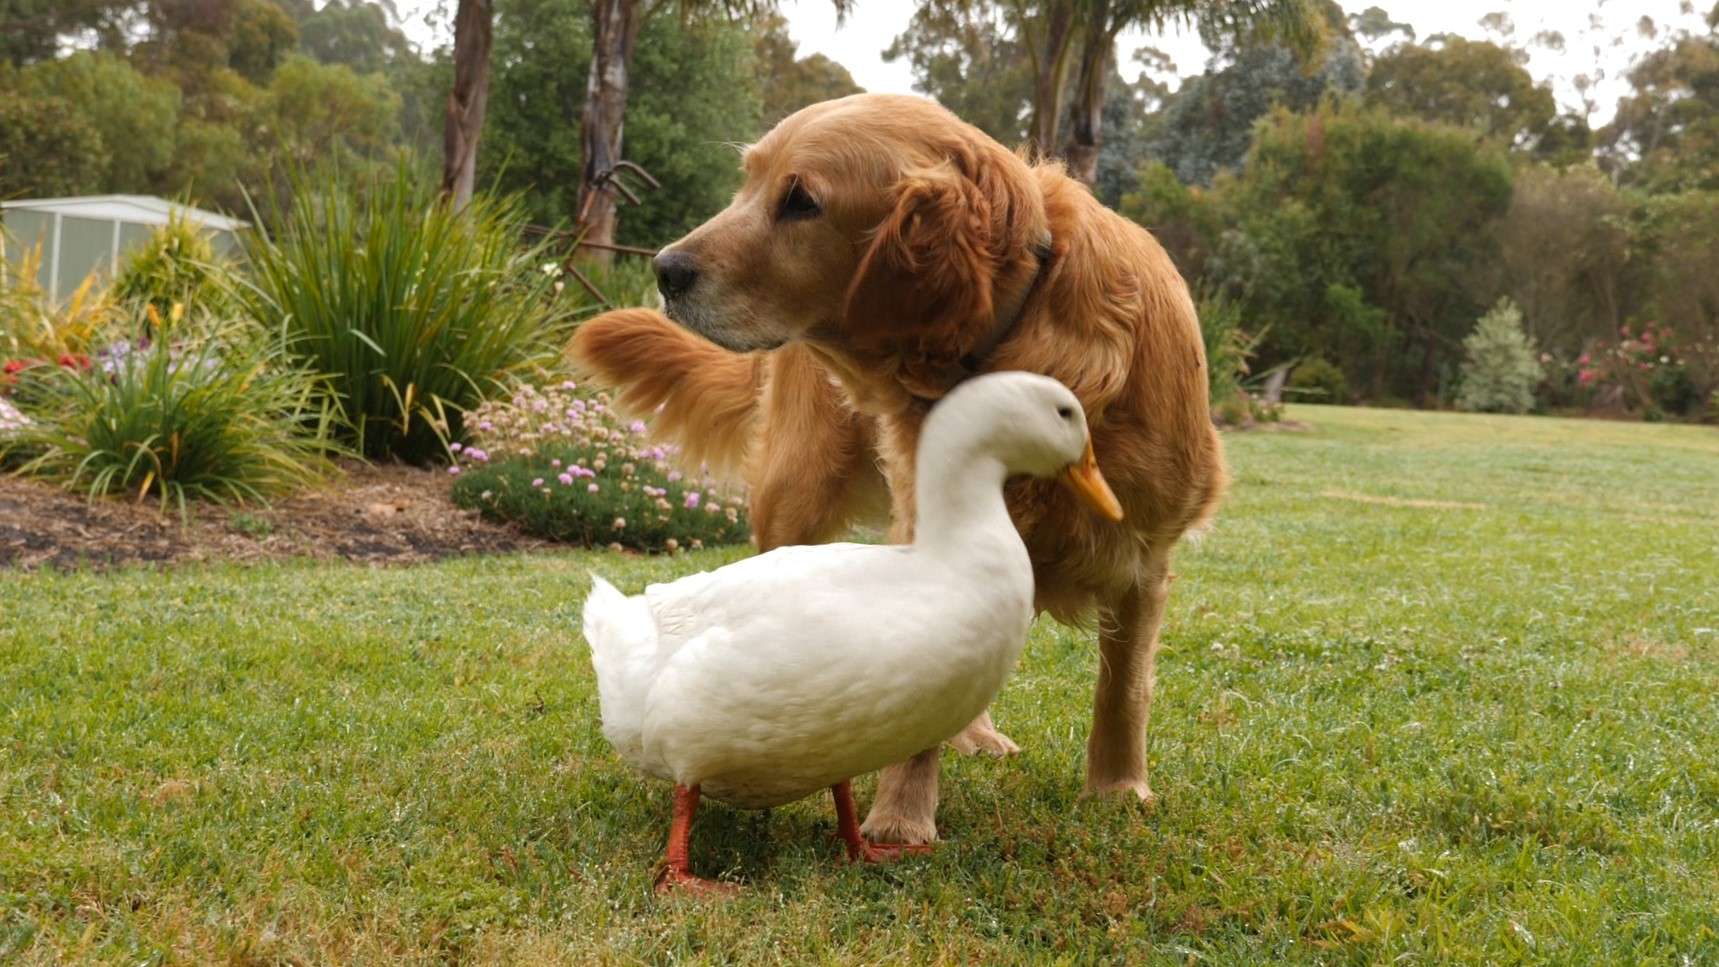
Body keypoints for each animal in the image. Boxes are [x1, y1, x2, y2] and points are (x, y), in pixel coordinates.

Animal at [570, 92, 1230, 848]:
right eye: (749, 180)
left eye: (801, 201)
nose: (663, 269)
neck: (1007, 333)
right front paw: (902, 817)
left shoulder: (1145, 554)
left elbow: (1123, 690)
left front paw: (1119, 791)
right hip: (794, 494)